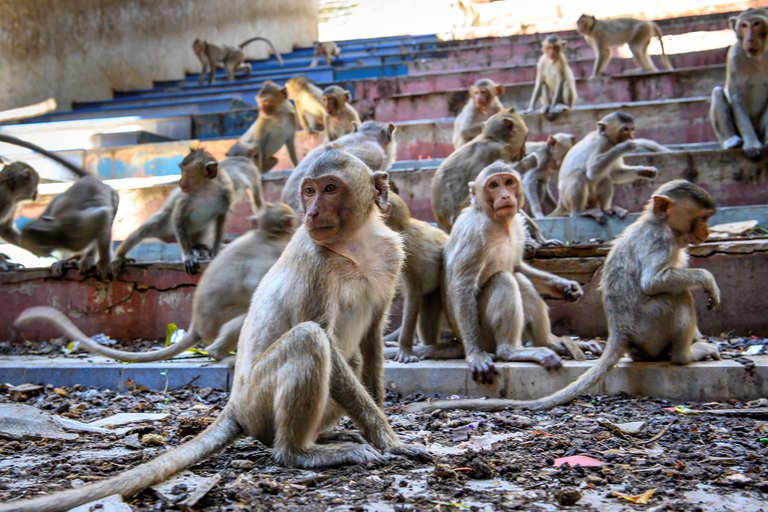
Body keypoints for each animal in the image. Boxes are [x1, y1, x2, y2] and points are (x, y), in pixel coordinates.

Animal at [28, 203, 296, 363]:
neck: (264, 233)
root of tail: (197, 326)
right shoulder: (270, 251)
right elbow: (257, 285)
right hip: (216, 324)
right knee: (245, 318)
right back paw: (219, 353)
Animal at [111, 147, 234, 276]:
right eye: (181, 170)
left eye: (184, 172)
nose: (179, 182)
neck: (206, 189)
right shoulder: (185, 197)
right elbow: (178, 217)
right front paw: (188, 256)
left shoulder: (226, 193)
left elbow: (221, 219)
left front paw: (215, 252)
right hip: (164, 225)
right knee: (144, 230)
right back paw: (119, 257)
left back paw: (201, 247)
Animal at [407, 180, 721, 412]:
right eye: (701, 218)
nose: (706, 230)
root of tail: (620, 333)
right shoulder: (660, 240)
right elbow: (654, 281)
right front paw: (707, 280)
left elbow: (519, 266)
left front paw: (566, 287)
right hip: (648, 328)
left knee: (518, 278)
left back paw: (551, 342)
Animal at [710, 8, 768, 161]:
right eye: (744, 26)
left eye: (756, 23)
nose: (750, 39)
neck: (759, 57)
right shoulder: (734, 57)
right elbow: (737, 98)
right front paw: (752, 144)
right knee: (718, 92)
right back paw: (731, 141)